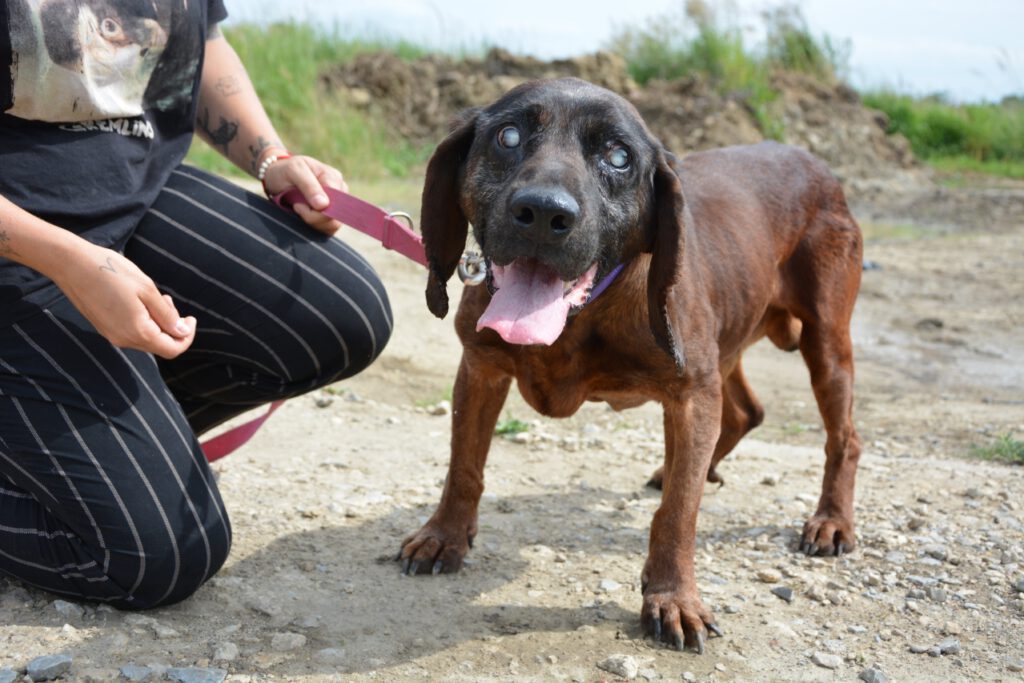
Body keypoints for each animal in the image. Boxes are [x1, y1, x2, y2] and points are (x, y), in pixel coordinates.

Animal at [399, 77, 864, 655]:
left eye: (618, 156)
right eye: (508, 136)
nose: (544, 213)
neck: (583, 315)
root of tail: (813, 161)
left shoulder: (690, 396)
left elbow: (679, 512)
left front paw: (673, 598)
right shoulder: (481, 369)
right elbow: (464, 465)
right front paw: (444, 536)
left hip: (825, 344)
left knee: (844, 437)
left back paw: (831, 521)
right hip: (726, 344)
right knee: (745, 413)